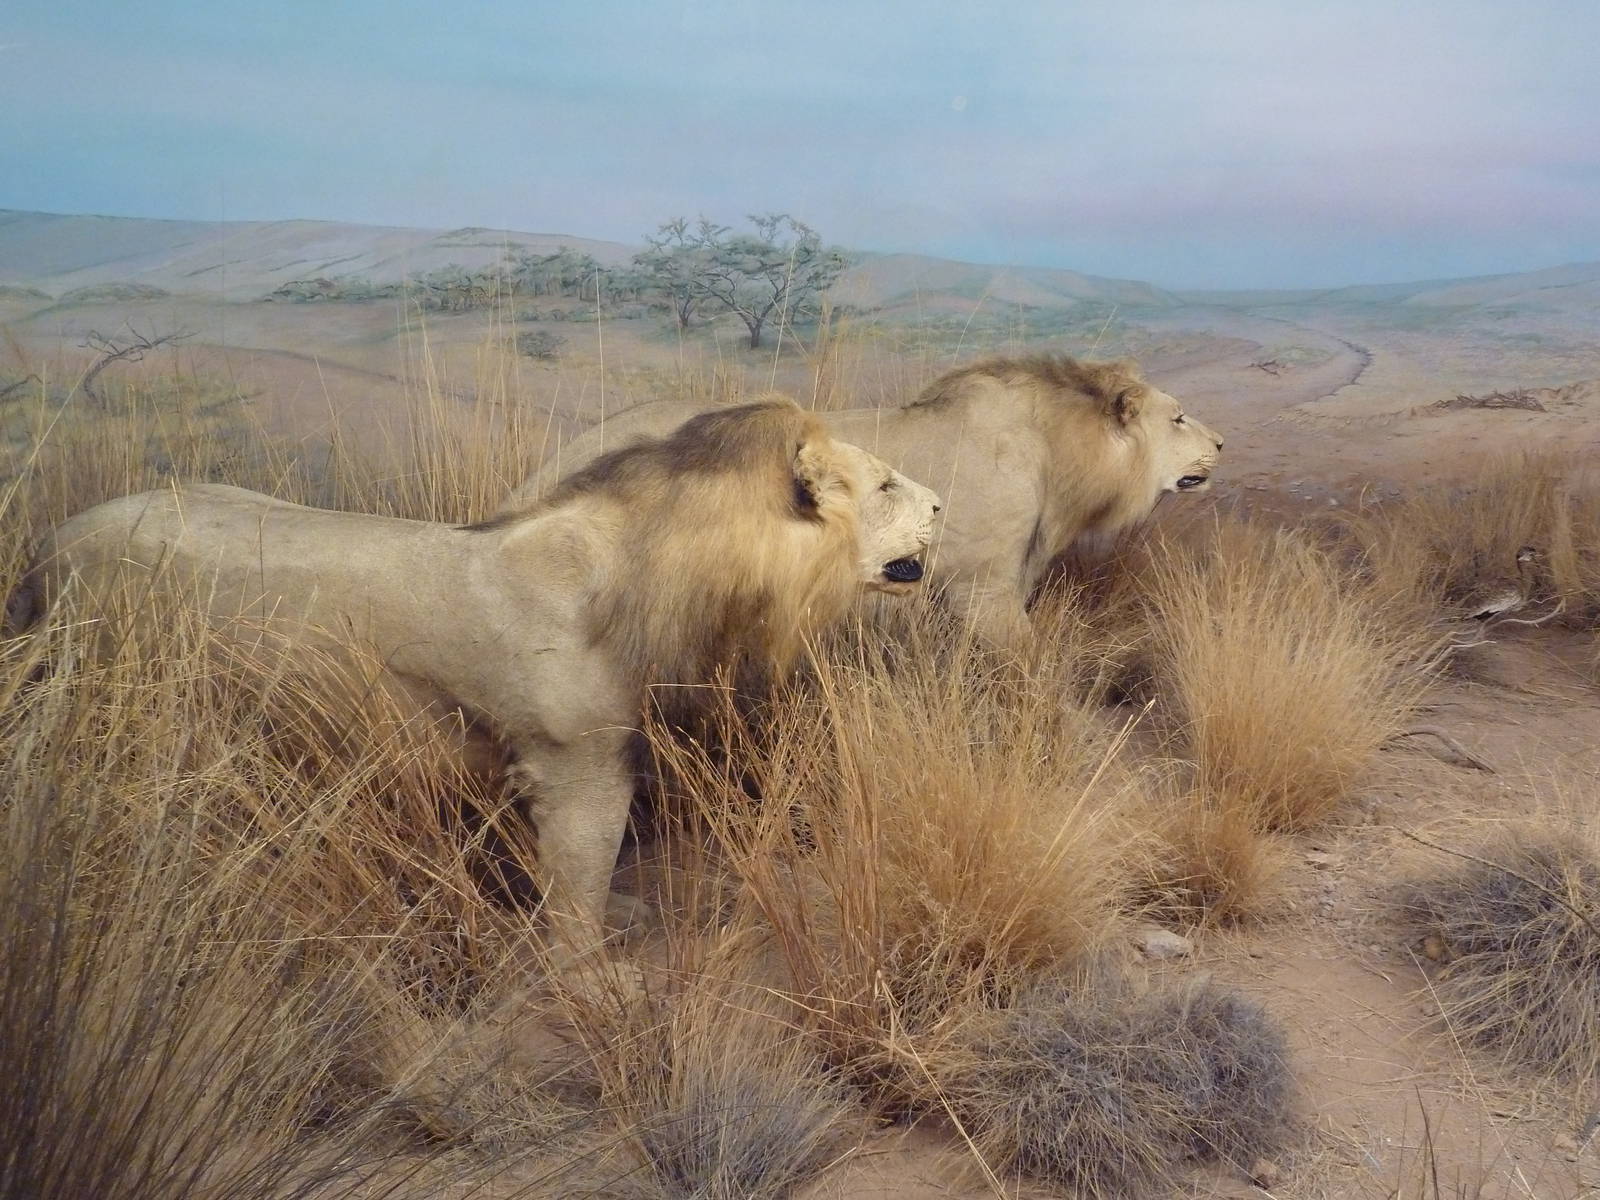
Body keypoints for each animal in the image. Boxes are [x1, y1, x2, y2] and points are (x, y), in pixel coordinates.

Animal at [12, 399, 941, 976]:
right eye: (887, 483)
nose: (942, 503)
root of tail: (48, 544)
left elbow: (564, 873)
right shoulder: (579, 763)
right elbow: (580, 874)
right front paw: (594, 978)